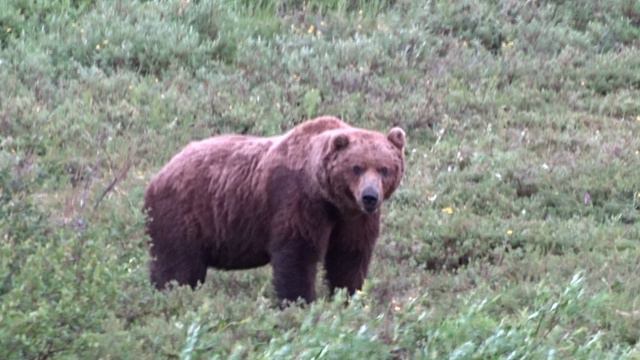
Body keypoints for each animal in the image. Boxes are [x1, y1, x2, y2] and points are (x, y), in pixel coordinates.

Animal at [145, 116, 404, 302]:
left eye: (384, 169)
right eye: (357, 167)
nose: (370, 197)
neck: (328, 198)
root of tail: (161, 172)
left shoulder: (353, 218)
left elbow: (349, 256)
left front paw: (347, 296)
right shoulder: (299, 202)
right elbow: (297, 254)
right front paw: (299, 300)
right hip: (185, 214)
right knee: (177, 266)